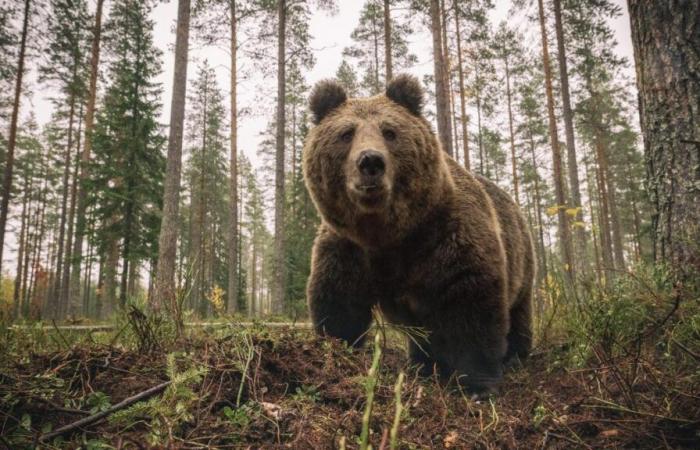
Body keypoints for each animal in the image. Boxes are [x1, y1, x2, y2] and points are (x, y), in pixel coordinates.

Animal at [302, 74, 536, 394]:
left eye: (389, 131)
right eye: (346, 133)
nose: (370, 161)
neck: (389, 234)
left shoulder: (448, 238)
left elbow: (472, 304)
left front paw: (477, 384)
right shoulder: (348, 248)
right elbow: (339, 302)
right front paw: (336, 350)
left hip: (522, 262)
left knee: (518, 312)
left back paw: (516, 356)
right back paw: (421, 365)